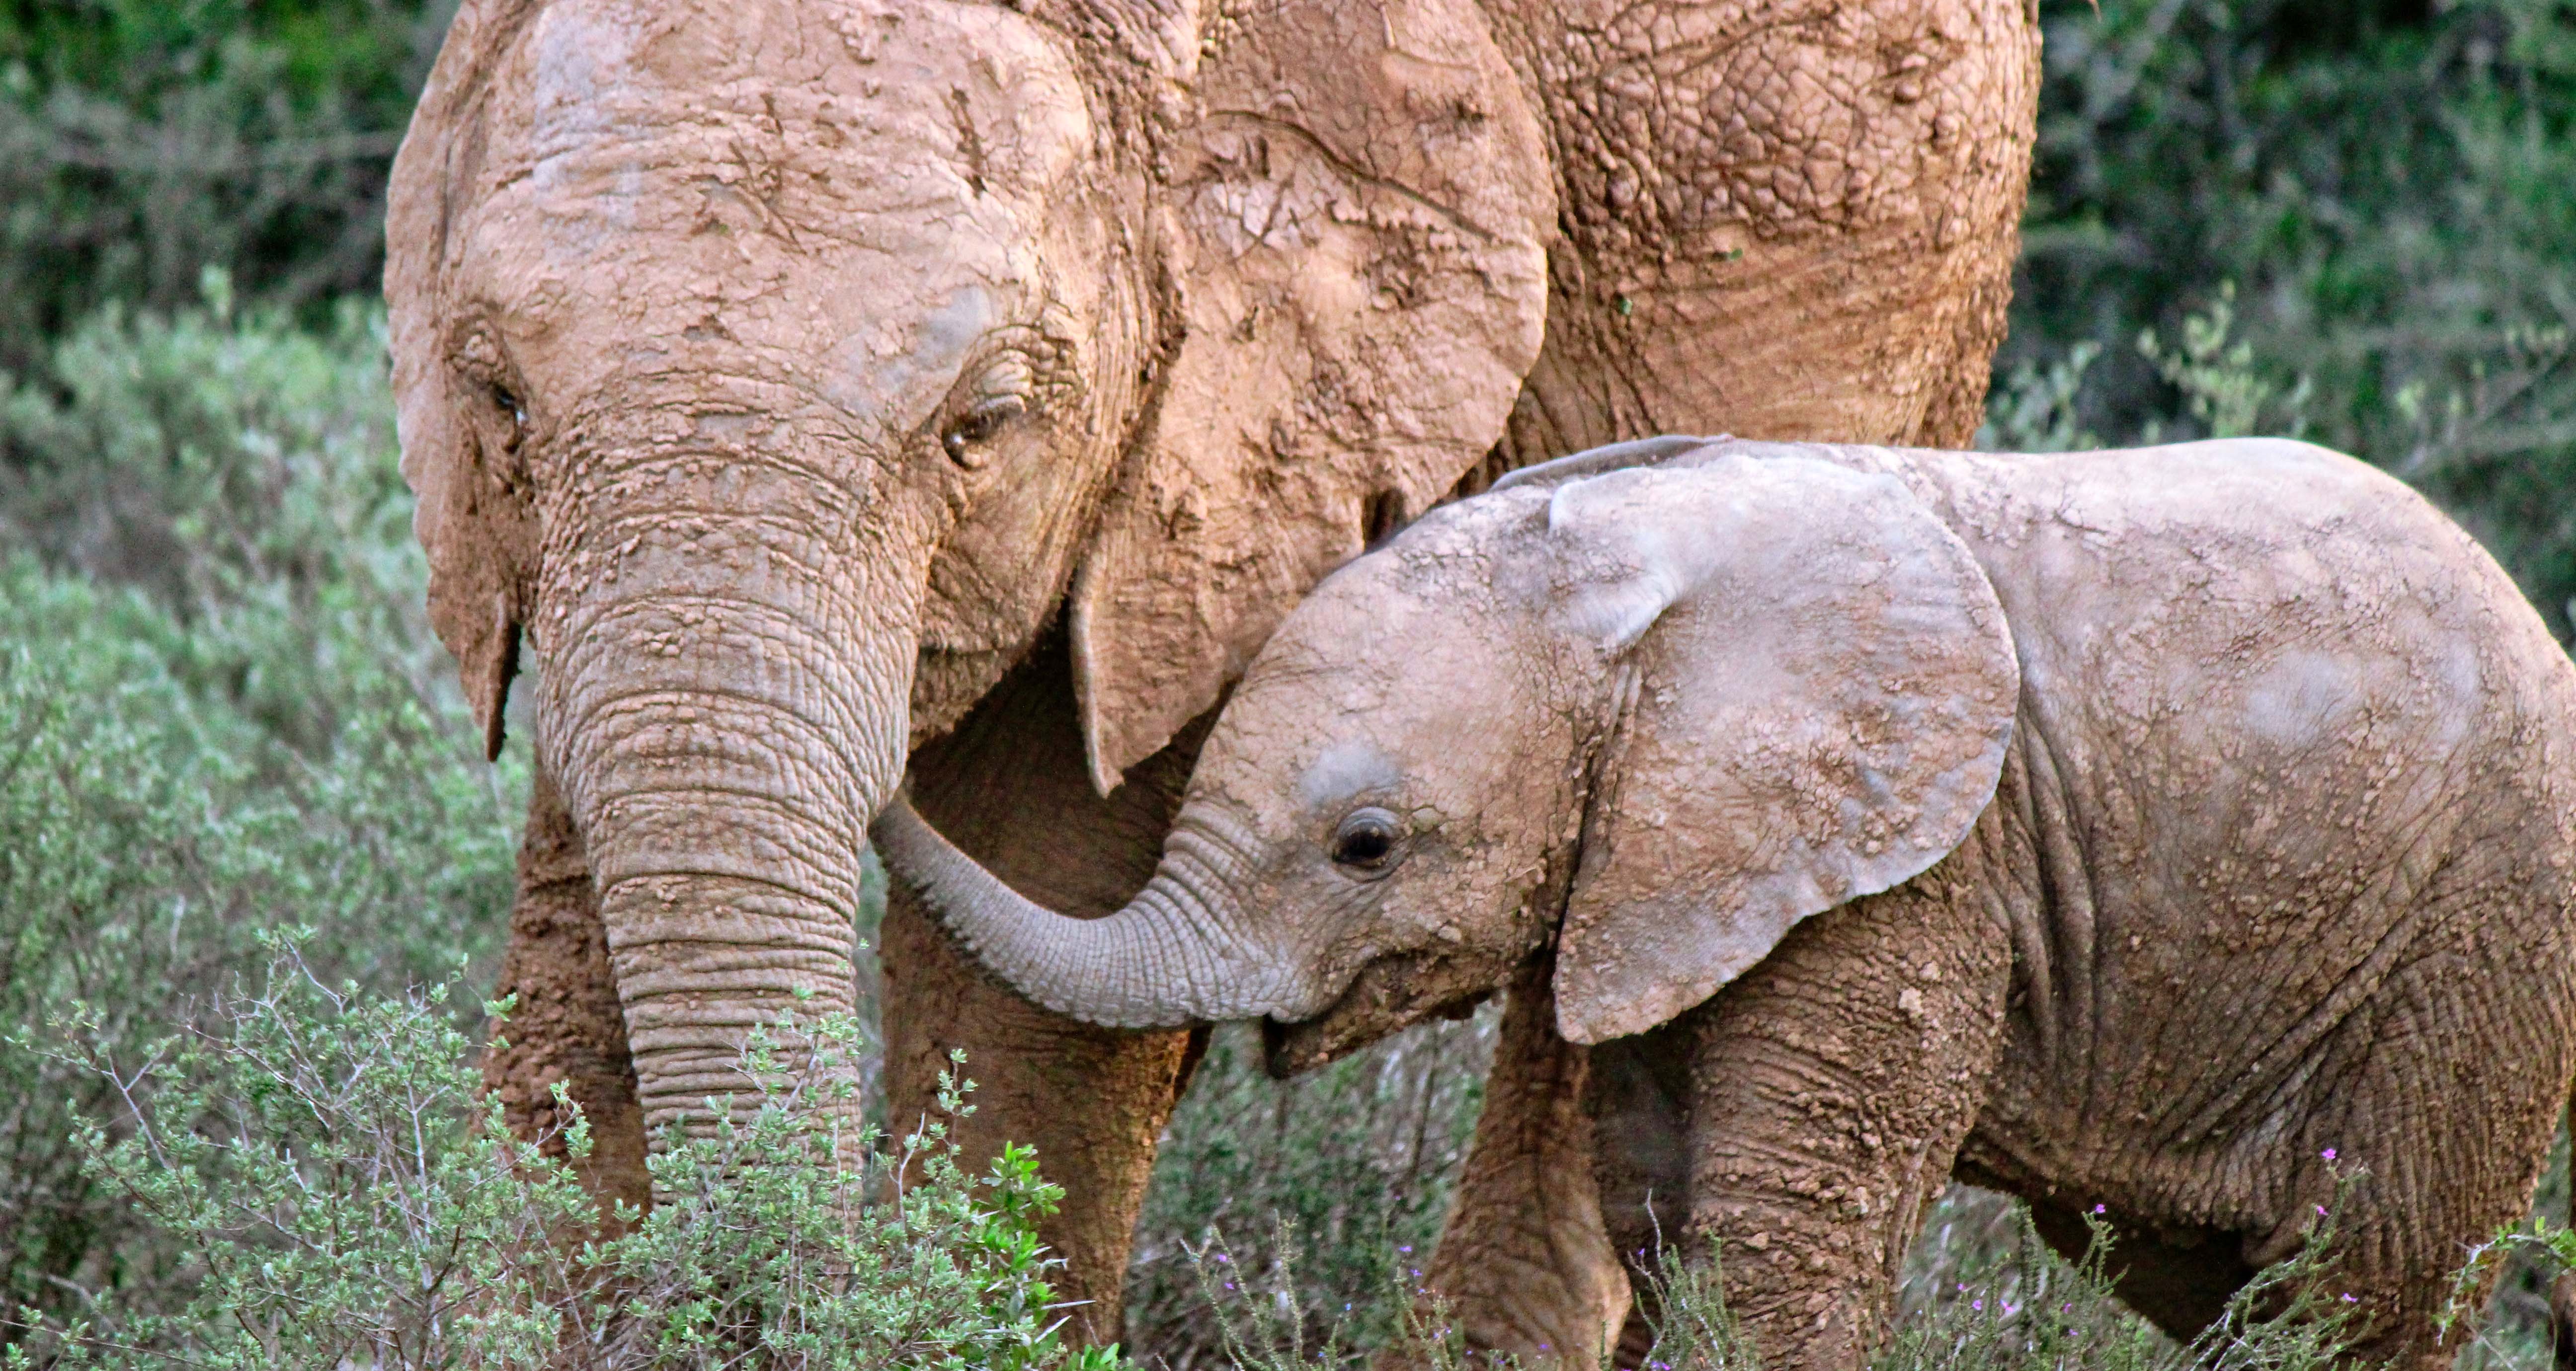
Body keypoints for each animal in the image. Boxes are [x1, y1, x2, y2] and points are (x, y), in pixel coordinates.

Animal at [875, 434, 2576, 1371]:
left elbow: (1774, 1247)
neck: (1638, 582)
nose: (898, 743)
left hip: (2481, 945)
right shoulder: (1659, 871)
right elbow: (1655, 1208)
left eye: (1367, 844)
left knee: (2359, 1287)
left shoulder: (1916, 874)